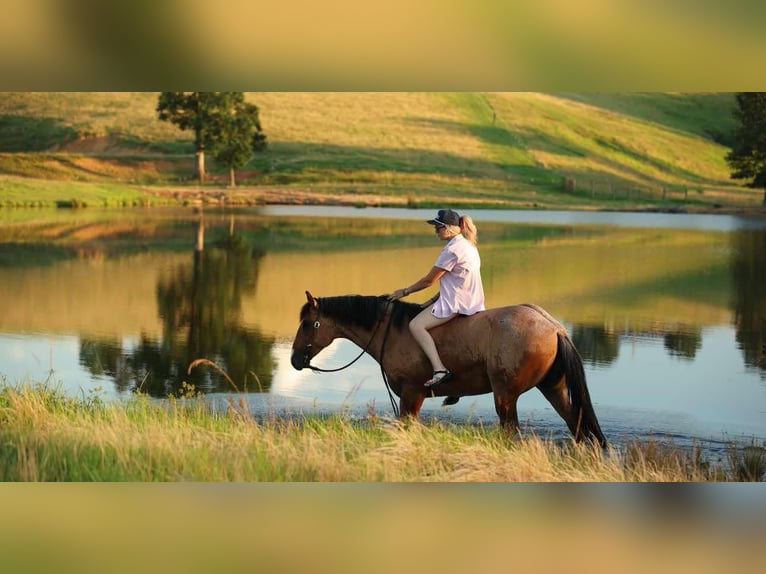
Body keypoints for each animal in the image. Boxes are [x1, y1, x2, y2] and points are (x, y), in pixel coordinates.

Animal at [290, 291, 607, 447]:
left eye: (307, 323)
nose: (294, 359)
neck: (393, 331)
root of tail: (554, 327)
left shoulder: (412, 394)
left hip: (505, 396)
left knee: (511, 430)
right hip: (553, 388)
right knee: (576, 424)